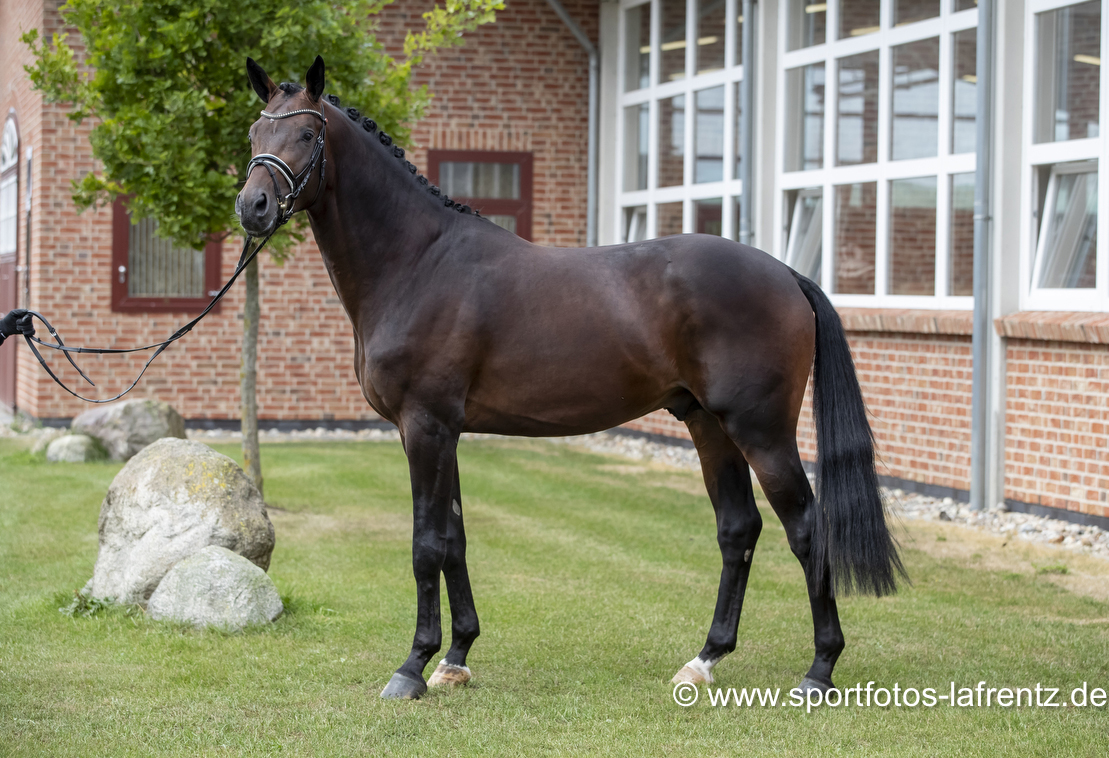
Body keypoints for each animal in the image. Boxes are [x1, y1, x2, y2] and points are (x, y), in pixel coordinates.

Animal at [233, 56, 900, 701]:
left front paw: (413, 667)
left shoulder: (425, 427)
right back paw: (705, 659)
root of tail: (786, 274)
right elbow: (454, 538)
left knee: (807, 529)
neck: (417, 263)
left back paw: (819, 669)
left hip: (761, 431)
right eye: (254, 134)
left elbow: (426, 545)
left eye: (307, 133)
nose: (252, 206)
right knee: (738, 530)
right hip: (708, 425)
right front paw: (456, 658)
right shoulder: (441, 431)